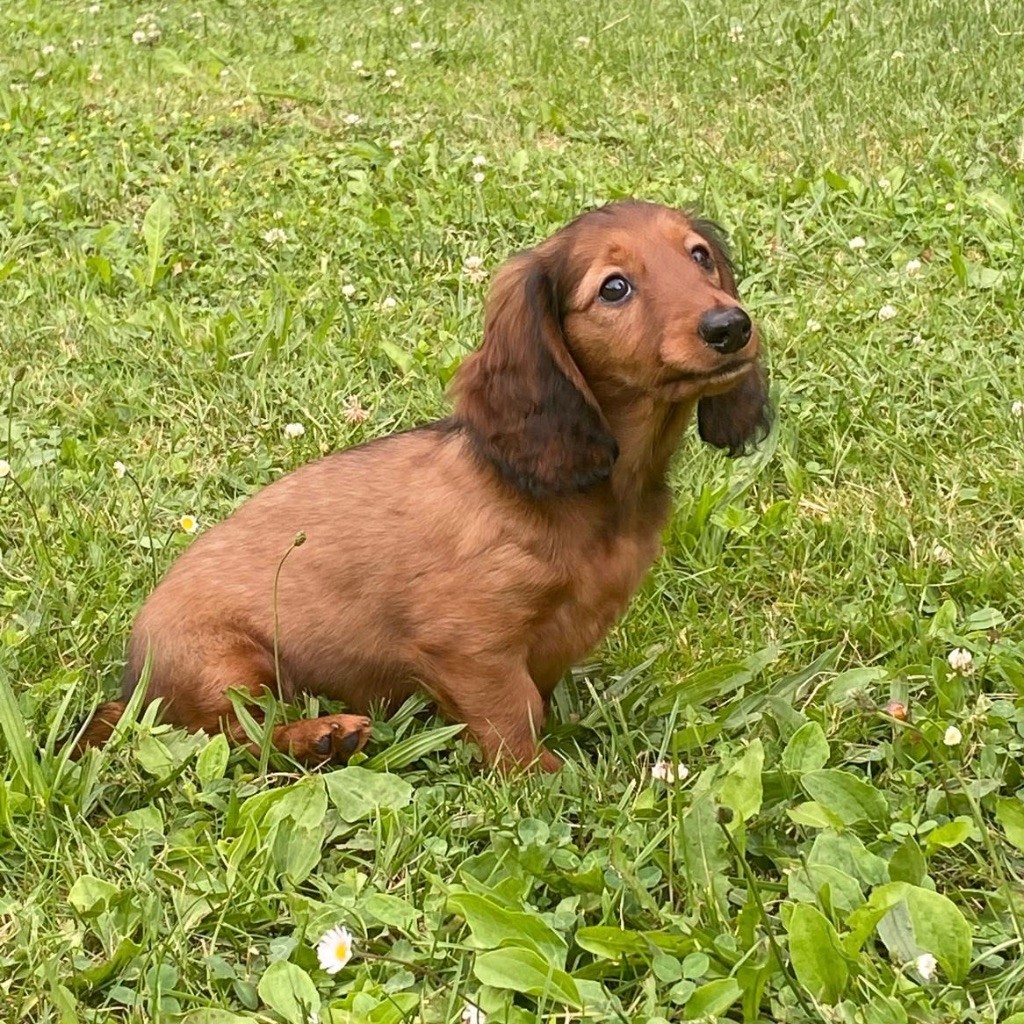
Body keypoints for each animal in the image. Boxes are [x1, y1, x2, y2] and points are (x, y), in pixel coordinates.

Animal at [75, 199, 770, 770]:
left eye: (700, 257)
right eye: (615, 288)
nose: (730, 327)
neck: (595, 492)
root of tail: (131, 689)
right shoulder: (468, 644)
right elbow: (514, 716)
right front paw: (544, 780)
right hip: (224, 663)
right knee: (232, 735)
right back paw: (322, 735)